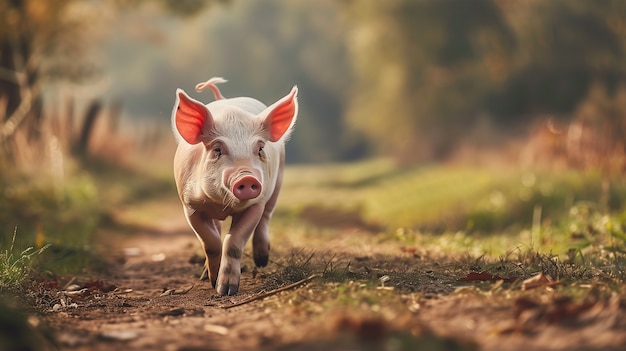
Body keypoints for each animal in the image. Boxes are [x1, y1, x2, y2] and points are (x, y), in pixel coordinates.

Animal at [171, 77, 298, 296]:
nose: (246, 178)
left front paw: (226, 290)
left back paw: (262, 261)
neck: (223, 206)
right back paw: (204, 275)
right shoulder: (190, 205)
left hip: (278, 181)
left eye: (260, 149)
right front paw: (213, 282)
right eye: (217, 150)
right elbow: (211, 242)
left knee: (267, 215)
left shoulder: (255, 204)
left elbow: (233, 241)